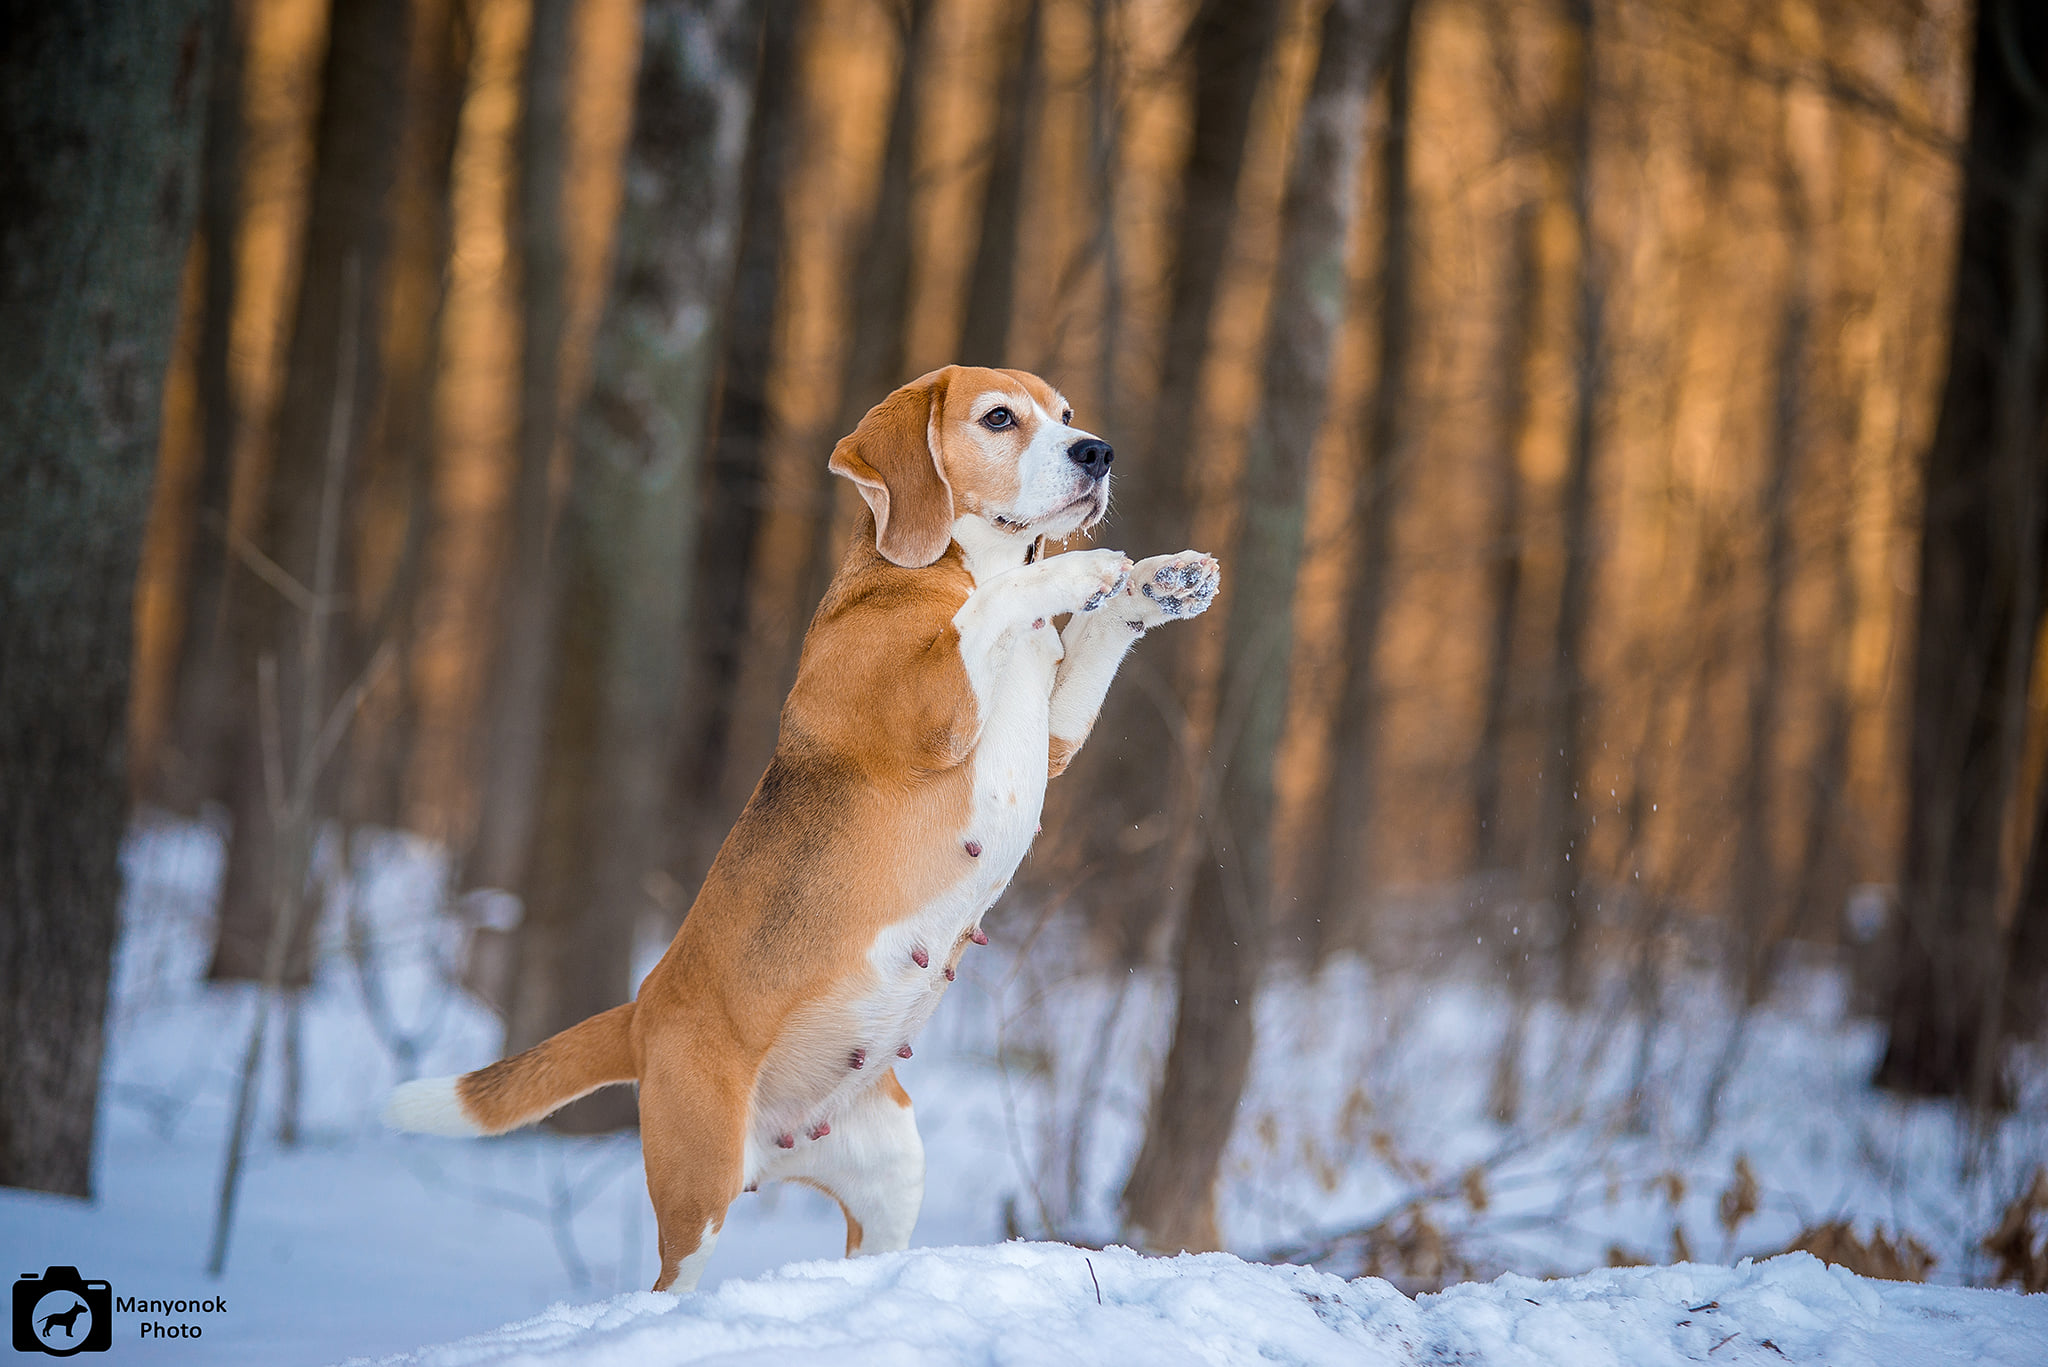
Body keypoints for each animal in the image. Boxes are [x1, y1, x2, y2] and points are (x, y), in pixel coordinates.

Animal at [385, 366, 1212, 1295]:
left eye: (1067, 414)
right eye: (1000, 418)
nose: (1097, 452)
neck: (948, 567)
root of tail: (643, 1006)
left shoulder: (1053, 734)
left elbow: (1093, 637)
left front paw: (1157, 584)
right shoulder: (933, 709)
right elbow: (994, 607)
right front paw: (1081, 571)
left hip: (891, 1170)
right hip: (699, 1189)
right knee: (674, 1280)